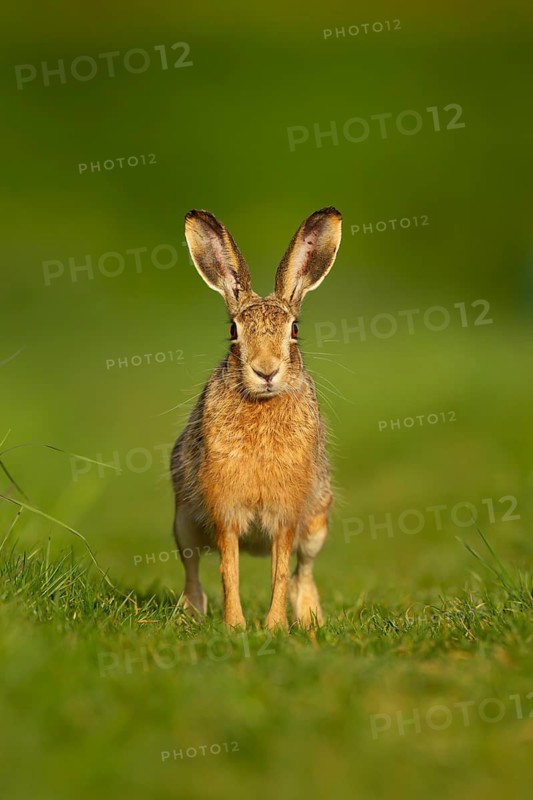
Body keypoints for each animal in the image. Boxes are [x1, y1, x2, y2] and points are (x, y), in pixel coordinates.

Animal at [170, 207, 342, 630]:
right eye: (233, 331)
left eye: (294, 329)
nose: (266, 371)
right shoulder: (225, 513)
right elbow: (228, 570)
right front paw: (236, 627)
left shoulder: (287, 515)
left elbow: (280, 573)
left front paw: (274, 628)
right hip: (183, 522)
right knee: (192, 568)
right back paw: (190, 614)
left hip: (317, 523)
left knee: (303, 571)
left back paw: (310, 620)